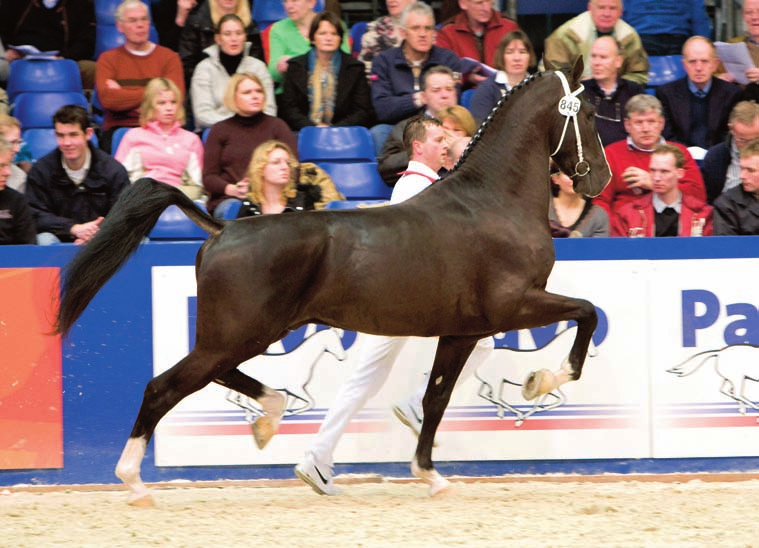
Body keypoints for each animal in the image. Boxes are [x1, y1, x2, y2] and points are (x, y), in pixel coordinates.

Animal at [53, 58, 612, 506]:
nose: (599, 180)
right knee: (163, 386)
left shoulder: (462, 331)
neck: (492, 202)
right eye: (586, 114)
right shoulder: (514, 304)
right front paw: (542, 379)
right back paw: (135, 483)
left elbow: (435, 400)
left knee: (220, 376)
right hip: (237, 333)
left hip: (245, 333)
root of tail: (223, 227)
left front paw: (432, 476)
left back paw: (272, 422)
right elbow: (586, 312)